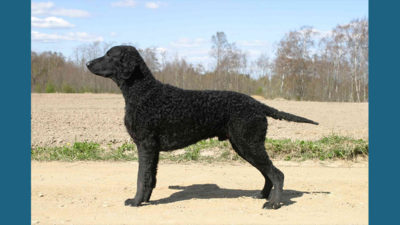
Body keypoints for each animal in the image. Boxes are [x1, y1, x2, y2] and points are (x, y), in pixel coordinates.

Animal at [87, 45, 318, 209]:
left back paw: (273, 203)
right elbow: (150, 178)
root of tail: (257, 104)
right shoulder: (152, 149)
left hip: (249, 143)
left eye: (109, 55)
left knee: (277, 174)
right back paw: (262, 195)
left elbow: (140, 177)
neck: (144, 92)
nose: (88, 62)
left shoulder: (145, 145)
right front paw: (145, 200)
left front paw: (135, 202)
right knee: (268, 173)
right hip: (244, 145)